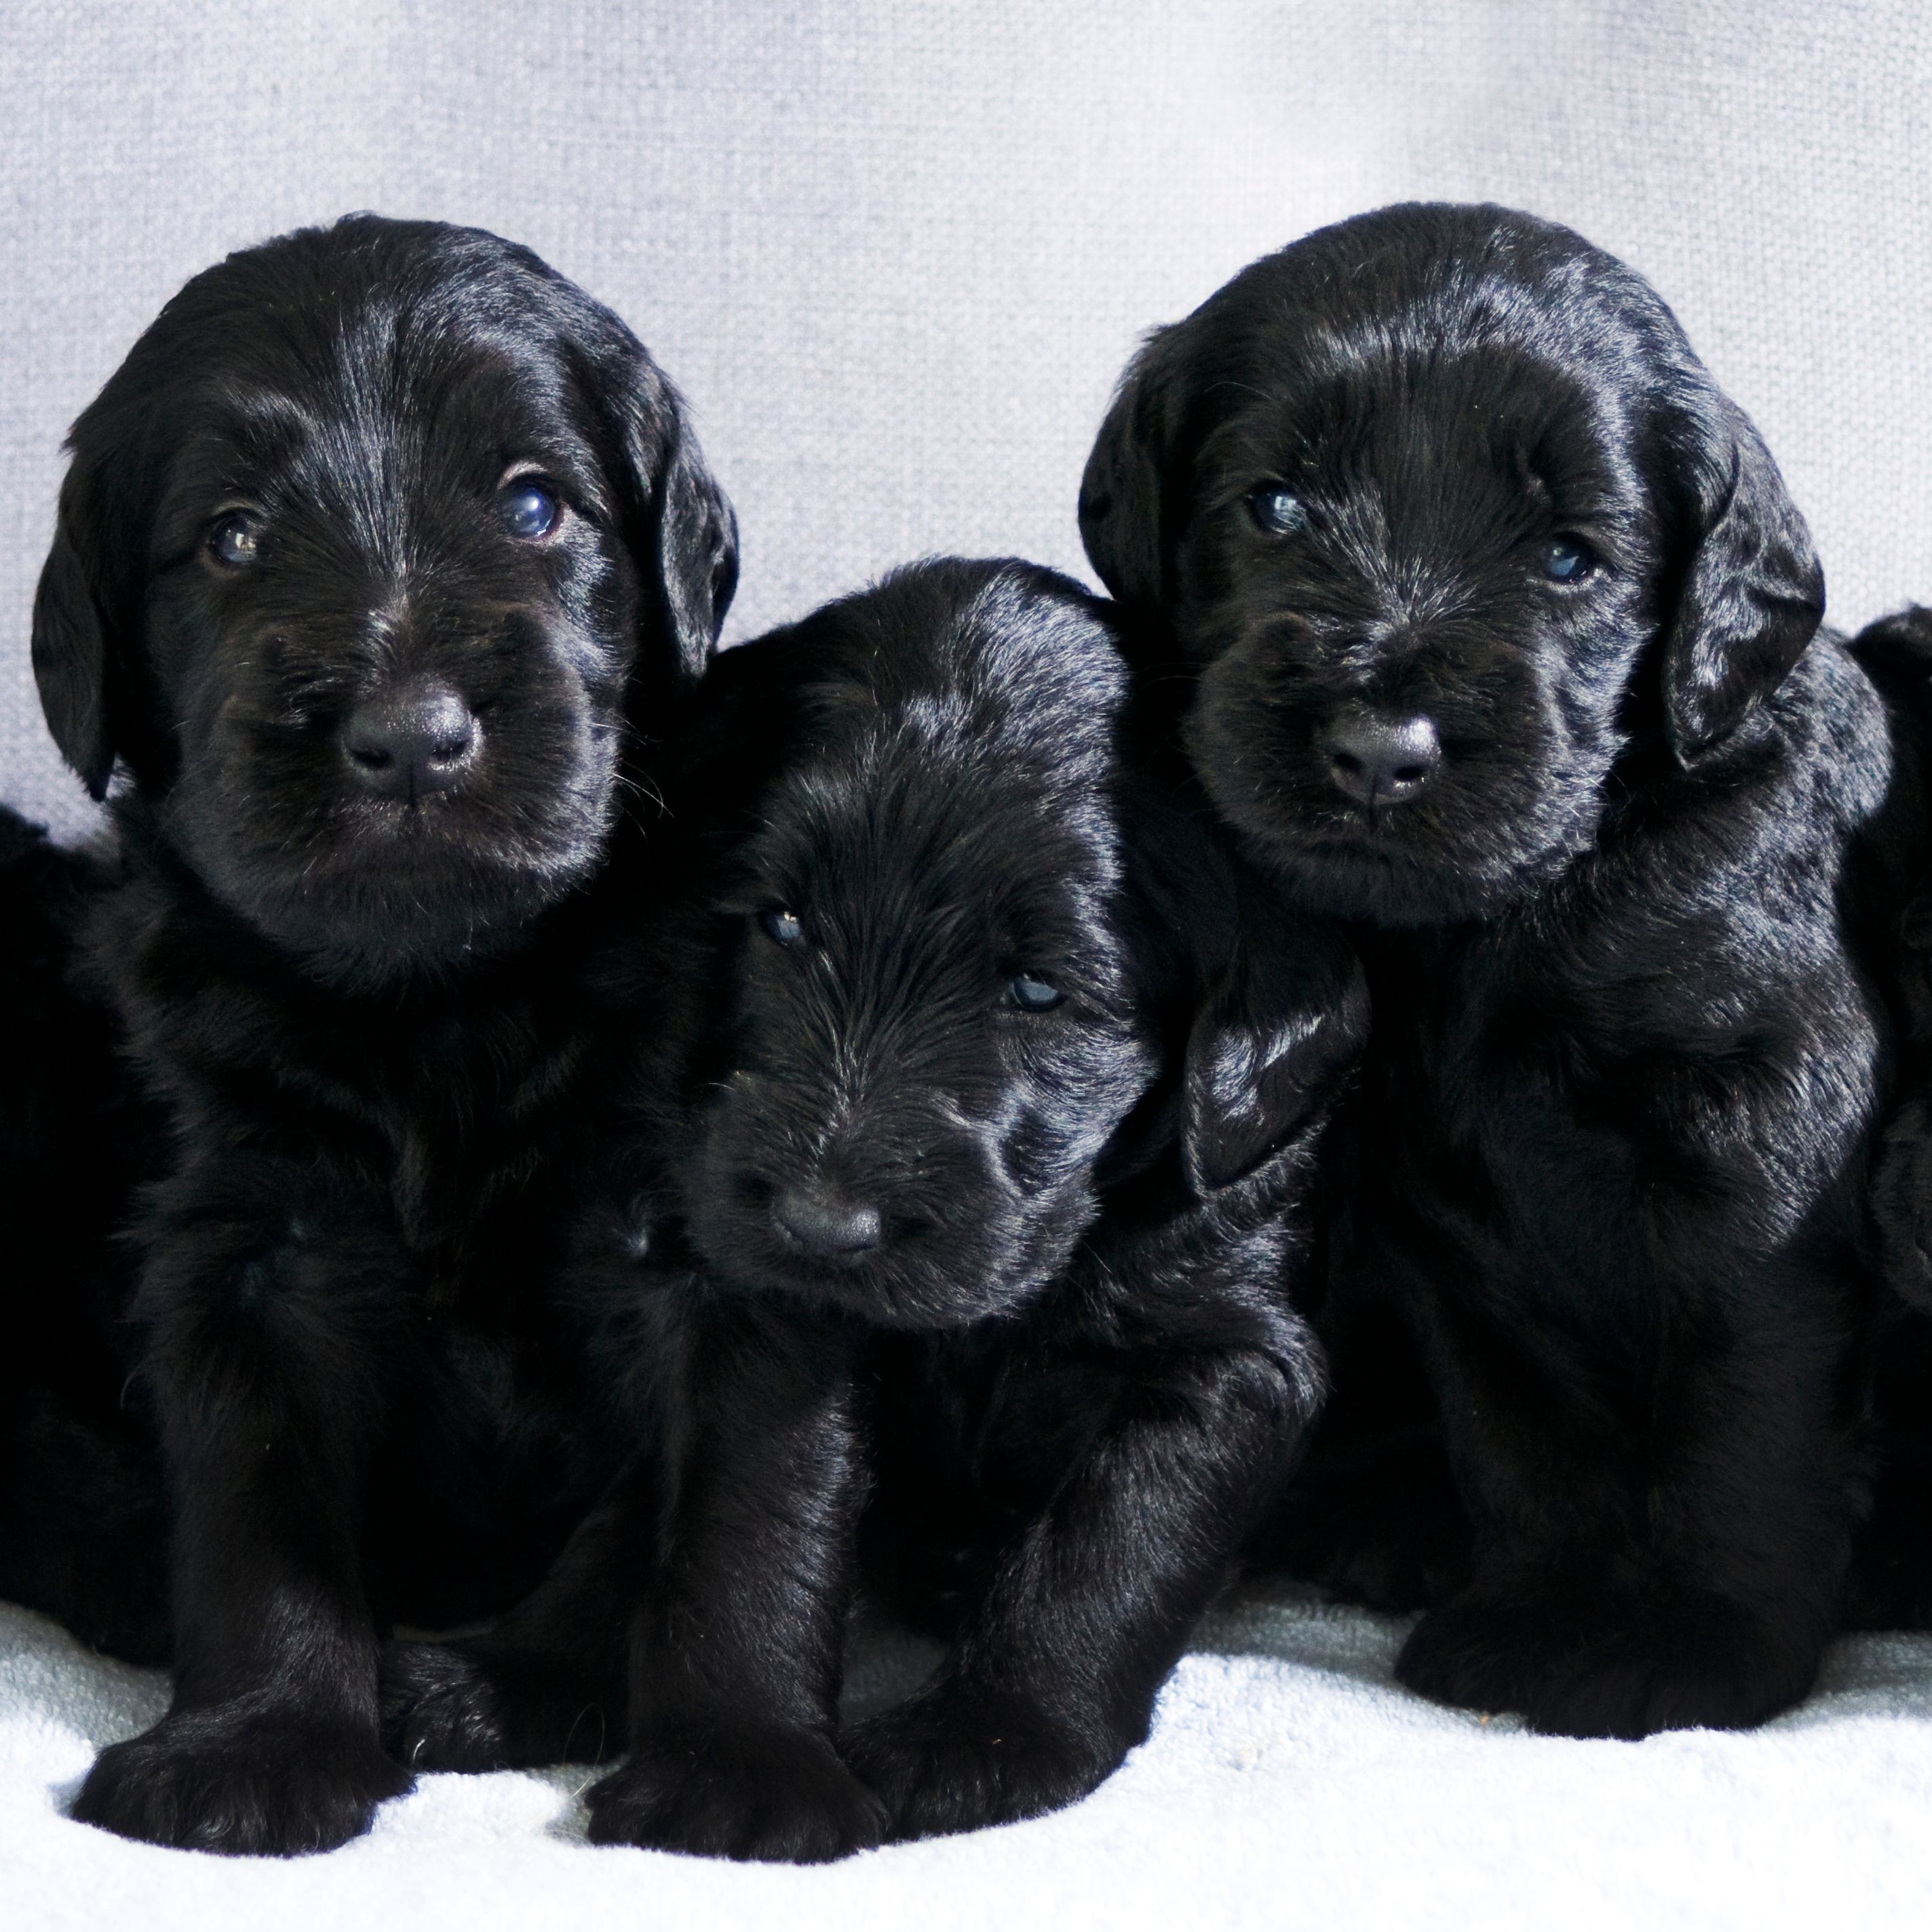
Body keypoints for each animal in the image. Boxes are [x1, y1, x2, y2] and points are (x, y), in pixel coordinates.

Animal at [26, 212, 737, 1854]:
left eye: (535, 503)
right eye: (230, 538)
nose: (411, 737)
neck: (436, 1000)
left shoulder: (667, 1222)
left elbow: (644, 1513)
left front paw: (502, 1679)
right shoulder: (244, 1242)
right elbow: (259, 1510)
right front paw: (259, 1739)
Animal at [378, 558, 1364, 1860]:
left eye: (1038, 988)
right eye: (782, 923)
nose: (819, 1223)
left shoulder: (1228, 1346)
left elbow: (1112, 1545)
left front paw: (982, 1735)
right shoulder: (734, 1277)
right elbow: (696, 1515)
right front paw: (618, 1710)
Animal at [1078, 201, 1910, 1738]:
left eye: (1571, 558)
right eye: (1272, 507)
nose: (1376, 750)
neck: (1518, 915)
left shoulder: (1758, 1165)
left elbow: (1736, 1419)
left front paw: (1697, 1647)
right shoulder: (1457, 1220)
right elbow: (1527, 1436)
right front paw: (1538, 1616)